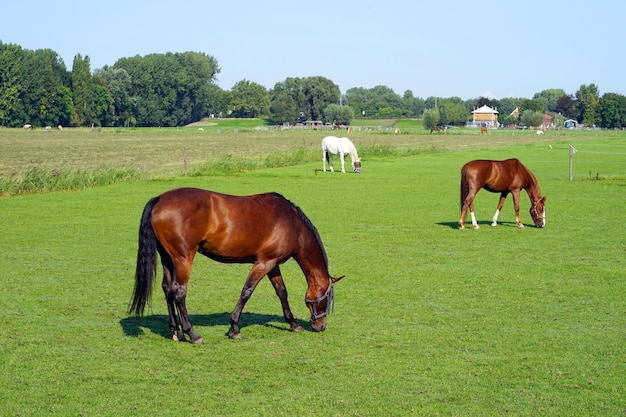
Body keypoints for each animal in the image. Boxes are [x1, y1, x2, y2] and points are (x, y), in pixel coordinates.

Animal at [127, 188, 342, 342]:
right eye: (327, 299)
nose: (321, 326)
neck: (292, 224)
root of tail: (159, 199)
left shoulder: (273, 264)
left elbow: (282, 292)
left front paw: (293, 323)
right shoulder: (264, 262)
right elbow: (246, 292)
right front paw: (234, 328)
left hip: (168, 258)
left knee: (167, 289)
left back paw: (175, 330)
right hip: (182, 258)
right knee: (178, 292)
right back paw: (192, 333)